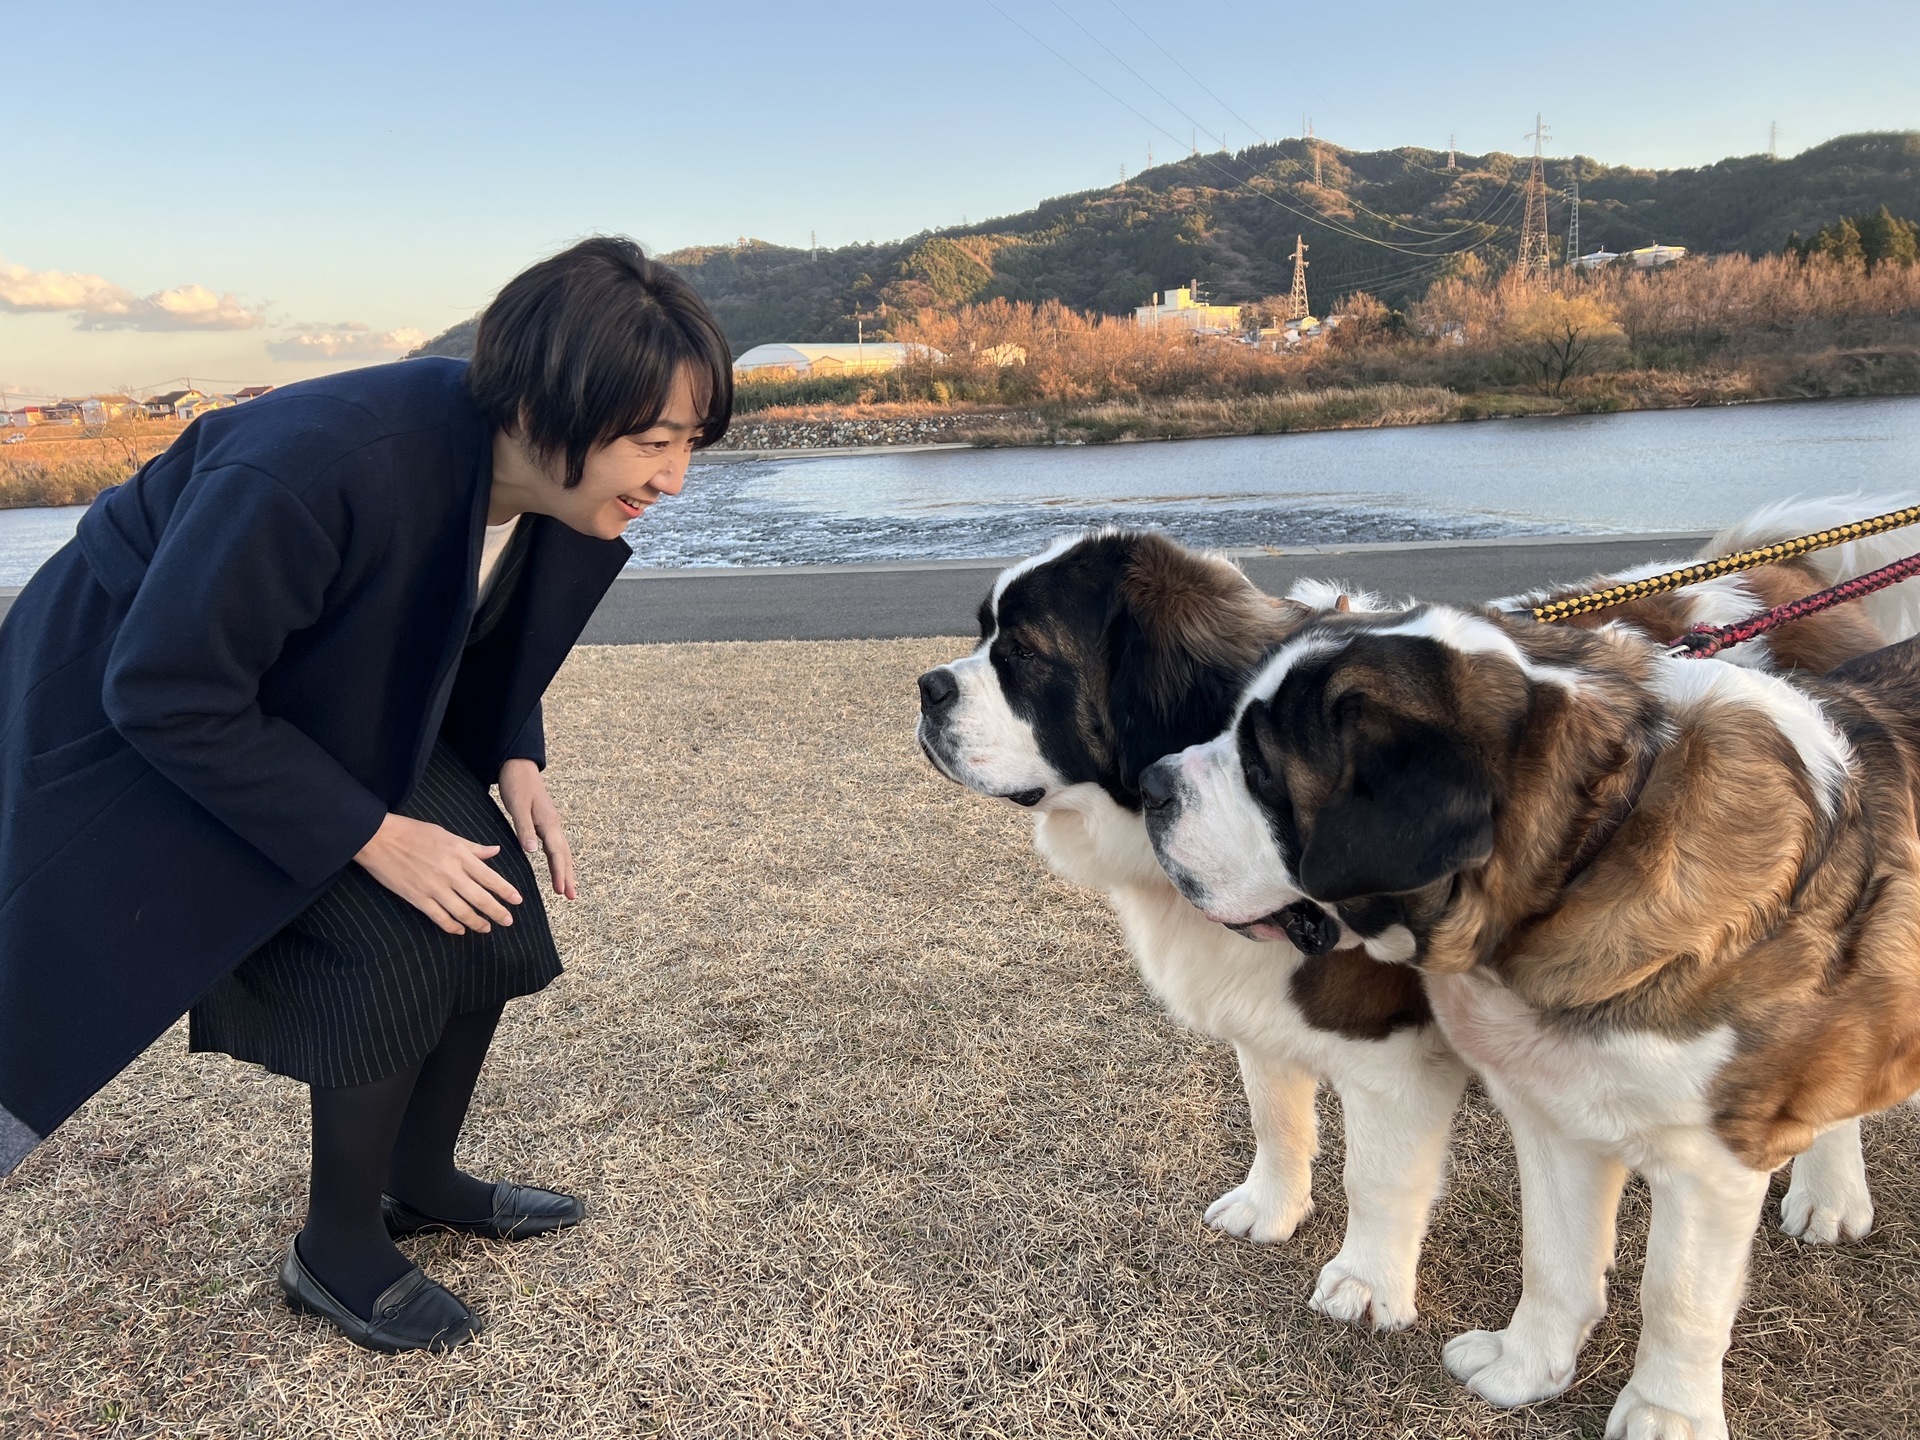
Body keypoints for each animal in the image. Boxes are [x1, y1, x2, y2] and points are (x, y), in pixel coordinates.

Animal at [910, 499, 1904, 1344]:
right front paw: (1271, 1207)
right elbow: (1274, 1109)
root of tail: (1775, 576)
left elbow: (1379, 1173)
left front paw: (1365, 1281)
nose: (927, 688)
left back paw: (1827, 1193)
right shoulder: (1262, 999)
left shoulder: (1392, 1041)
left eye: (1024, 656)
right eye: (979, 634)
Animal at [1136, 510, 1920, 1440]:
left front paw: (1663, 1415)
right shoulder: (1553, 1109)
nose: (1150, 783)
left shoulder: (1708, 1162)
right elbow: (1554, 1255)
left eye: (1262, 771)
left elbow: (1678, 1298)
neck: (1591, 853)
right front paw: (1526, 1368)